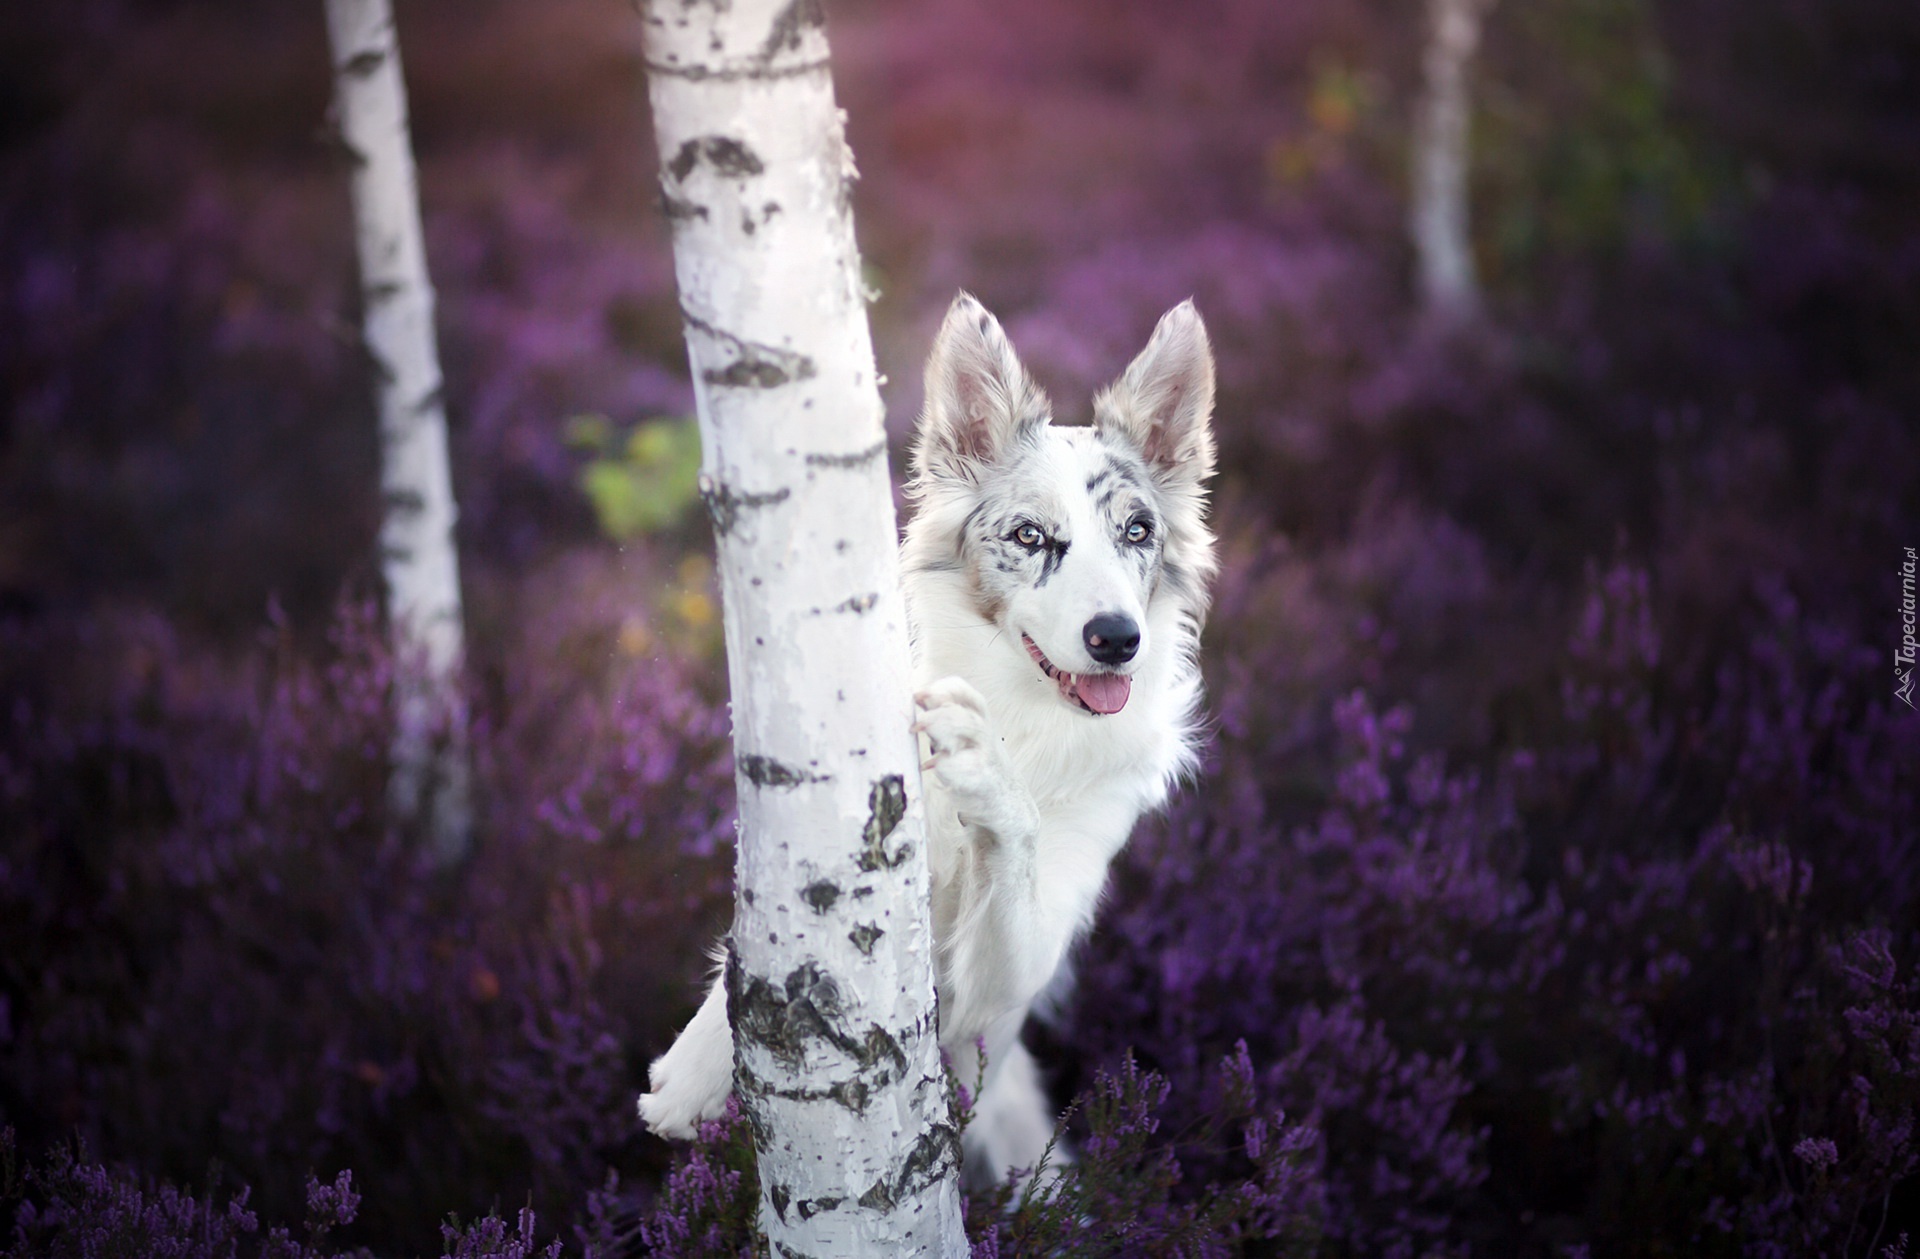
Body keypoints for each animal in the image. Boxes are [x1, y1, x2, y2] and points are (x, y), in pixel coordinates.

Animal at [645, 291, 1213, 1189]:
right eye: (1029, 537)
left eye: (1136, 532)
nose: (1119, 639)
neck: (1027, 715)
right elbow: (746, 943)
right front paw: (694, 1066)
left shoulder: (1002, 980)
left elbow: (1014, 851)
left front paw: (984, 767)